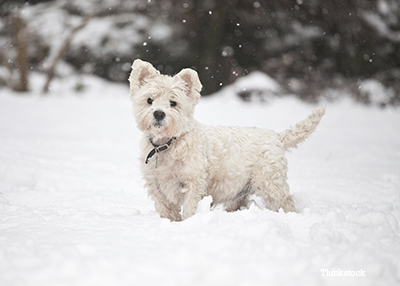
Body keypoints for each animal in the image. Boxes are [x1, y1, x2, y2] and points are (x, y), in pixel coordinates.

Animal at [128, 59, 324, 221]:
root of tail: (275, 136)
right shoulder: (156, 184)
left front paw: (189, 223)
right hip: (242, 191)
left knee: (285, 202)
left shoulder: (194, 182)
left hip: (270, 182)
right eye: (149, 100)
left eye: (173, 103)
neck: (167, 145)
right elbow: (166, 208)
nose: (159, 114)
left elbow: (190, 208)